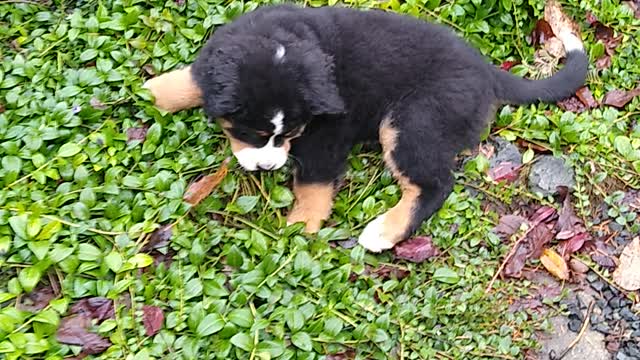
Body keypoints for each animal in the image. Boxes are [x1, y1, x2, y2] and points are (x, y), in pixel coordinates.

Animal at [144, 2, 584, 252]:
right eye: (252, 133)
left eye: (289, 134)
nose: (267, 168)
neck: (278, 44)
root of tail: (486, 72)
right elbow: (191, 79)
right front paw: (152, 92)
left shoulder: (328, 132)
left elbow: (314, 183)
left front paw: (298, 229)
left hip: (413, 120)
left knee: (435, 183)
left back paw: (383, 232)